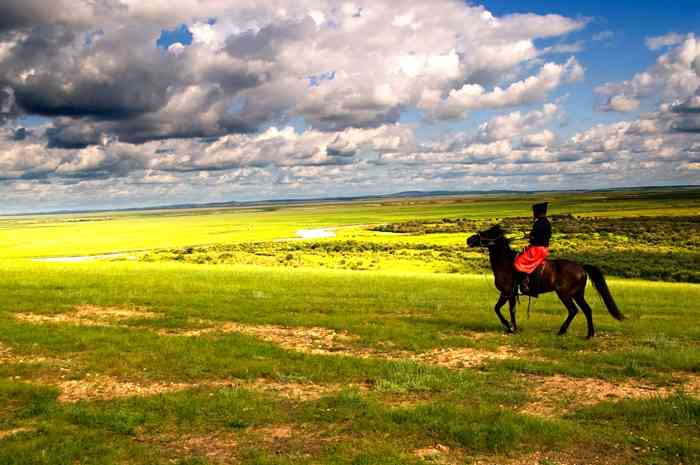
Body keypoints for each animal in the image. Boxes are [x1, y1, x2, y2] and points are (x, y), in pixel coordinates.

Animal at [464, 224, 624, 338]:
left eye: (487, 233)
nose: (469, 240)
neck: (506, 263)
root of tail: (581, 267)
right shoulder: (511, 294)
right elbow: (510, 310)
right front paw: (513, 328)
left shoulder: (506, 293)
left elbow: (498, 309)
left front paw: (509, 326)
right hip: (577, 294)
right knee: (587, 310)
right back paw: (589, 335)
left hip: (565, 294)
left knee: (573, 310)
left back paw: (562, 331)